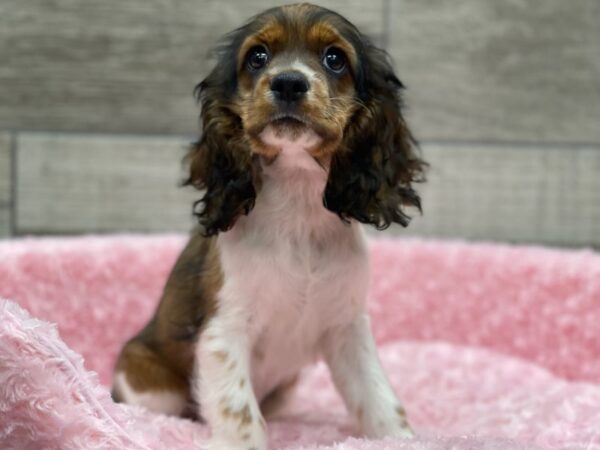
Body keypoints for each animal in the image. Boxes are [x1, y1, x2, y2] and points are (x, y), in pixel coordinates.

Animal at [111, 3, 422, 450]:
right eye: (257, 57)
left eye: (334, 58)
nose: (288, 82)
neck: (297, 207)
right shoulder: (223, 333)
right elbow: (241, 415)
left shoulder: (347, 329)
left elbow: (379, 398)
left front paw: (401, 438)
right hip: (149, 382)